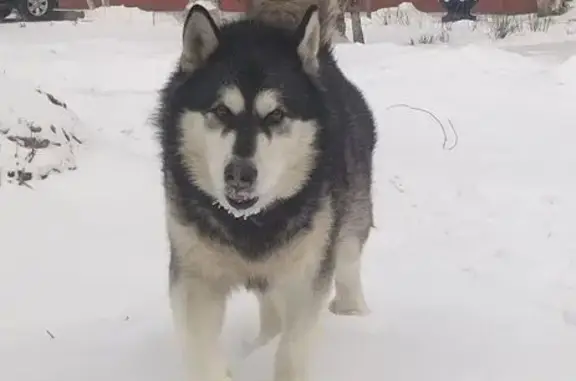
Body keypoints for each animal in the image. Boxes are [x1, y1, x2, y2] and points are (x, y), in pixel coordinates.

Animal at [155, 0, 376, 378]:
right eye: (221, 110)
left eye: (275, 115)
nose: (239, 174)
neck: (251, 224)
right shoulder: (196, 276)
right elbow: (201, 350)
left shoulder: (304, 275)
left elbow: (292, 349)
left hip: (348, 224)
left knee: (348, 268)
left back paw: (353, 314)